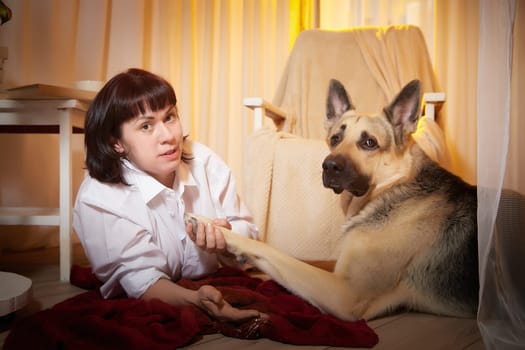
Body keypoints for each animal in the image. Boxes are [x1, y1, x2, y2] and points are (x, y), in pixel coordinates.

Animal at [186, 78, 476, 320]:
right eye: (335, 138)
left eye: (369, 143)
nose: (328, 166)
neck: (391, 189)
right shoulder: (336, 271)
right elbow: (301, 259)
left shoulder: (345, 294)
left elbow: (271, 250)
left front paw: (211, 227)